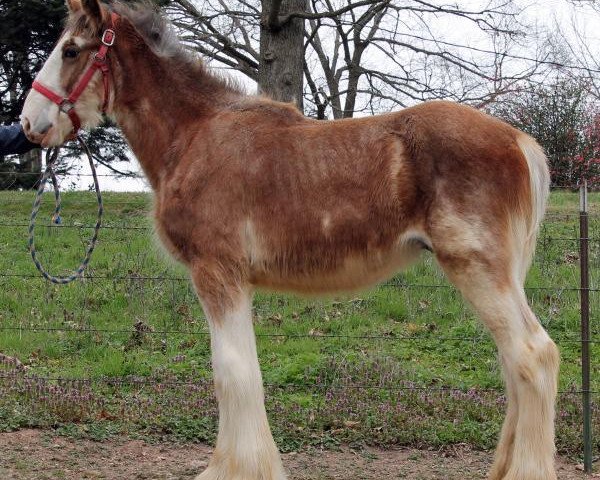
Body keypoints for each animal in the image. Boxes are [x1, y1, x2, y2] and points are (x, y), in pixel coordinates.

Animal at [21, 1, 560, 478]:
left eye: (71, 50)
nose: (29, 124)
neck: (195, 134)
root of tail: (520, 141)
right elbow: (236, 372)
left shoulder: (218, 272)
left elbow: (233, 373)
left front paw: (235, 471)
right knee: (513, 364)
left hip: (478, 267)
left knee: (532, 355)